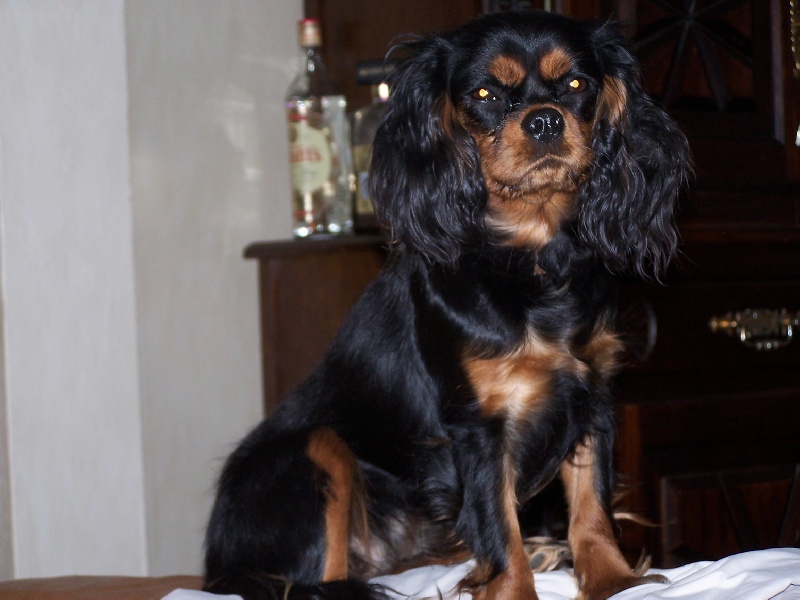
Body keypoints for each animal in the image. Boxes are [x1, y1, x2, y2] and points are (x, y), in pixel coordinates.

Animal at [203, 10, 690, 600]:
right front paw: (514, 588)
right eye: (484, 93)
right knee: (320, 575)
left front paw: (613, 580)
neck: (533, 261)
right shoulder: (479, 424)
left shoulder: (592, 396)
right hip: (316, 450)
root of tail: (218, 565)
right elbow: (497, 521)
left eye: (576, 85)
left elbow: (592, 503)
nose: (544, 121)